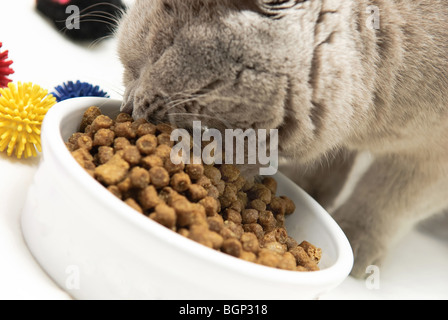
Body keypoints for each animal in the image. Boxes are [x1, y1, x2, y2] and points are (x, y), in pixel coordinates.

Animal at [116, 0, 448, 276]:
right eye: (128, 68)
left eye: (160, 51)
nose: (127, 110)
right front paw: (311, 191)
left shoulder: (434, 158)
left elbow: (389, 196)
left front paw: (357, 244)